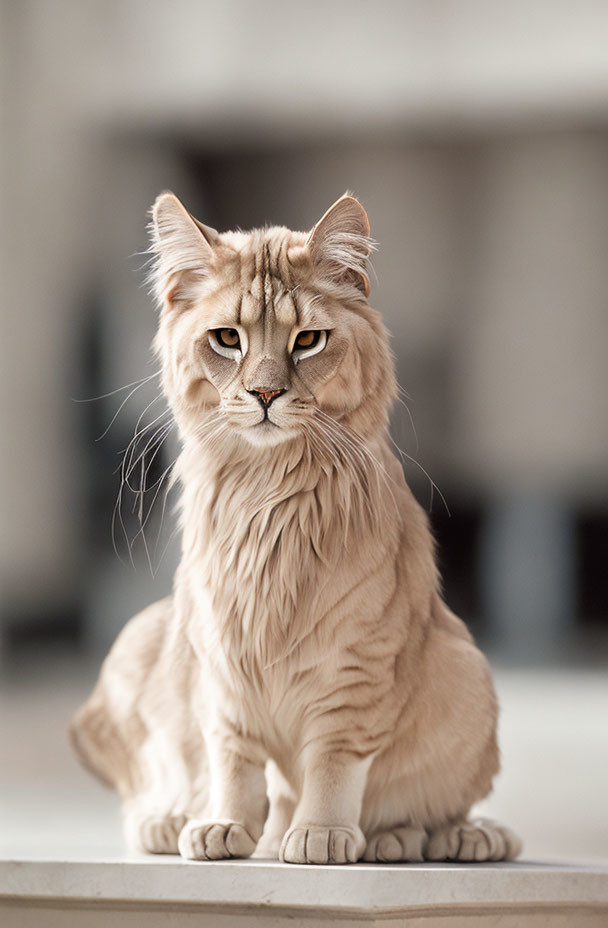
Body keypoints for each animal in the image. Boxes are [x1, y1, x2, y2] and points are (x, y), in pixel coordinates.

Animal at [69, 192, 520, 868]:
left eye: (308, 340)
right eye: (227, 339)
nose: (264, 392)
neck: (266, 497)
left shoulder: (356, 669)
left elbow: (331, 765)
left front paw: (321, 835)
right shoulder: (221, 663)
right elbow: (232, 761)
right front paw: (223, 826)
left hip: (470, 673)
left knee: (439, 812)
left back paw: (431, 838)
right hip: (144, 637)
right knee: (157, 786)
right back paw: (175, 820)